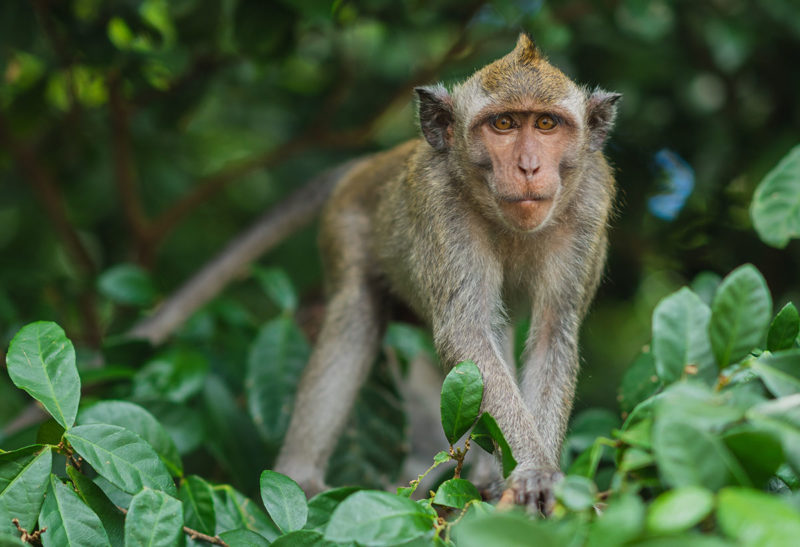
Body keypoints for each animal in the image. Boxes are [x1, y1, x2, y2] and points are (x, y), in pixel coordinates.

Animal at [276, 34, 624, 512]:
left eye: (546, 124)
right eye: (504, 123)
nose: (529, 167)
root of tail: (371, 164)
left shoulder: (590, 199)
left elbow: (552, 333)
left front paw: (538, 476)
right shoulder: (441, 204)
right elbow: (467, 332)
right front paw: (535, 469)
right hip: (344, 226)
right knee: (355, 318)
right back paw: (300, 479)